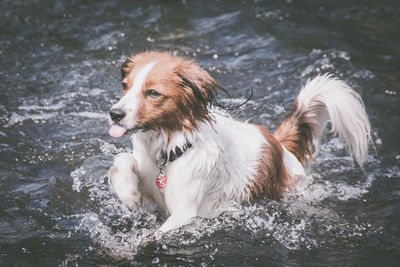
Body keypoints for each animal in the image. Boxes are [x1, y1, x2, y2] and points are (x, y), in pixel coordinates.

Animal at [107, 51, 372, 233]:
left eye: (153, 92)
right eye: (124, 86)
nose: (114, 114)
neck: (167, 152)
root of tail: (278, 145)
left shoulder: (185, 214)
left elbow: (153, 236)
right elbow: (122, 159)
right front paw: (129, 194)